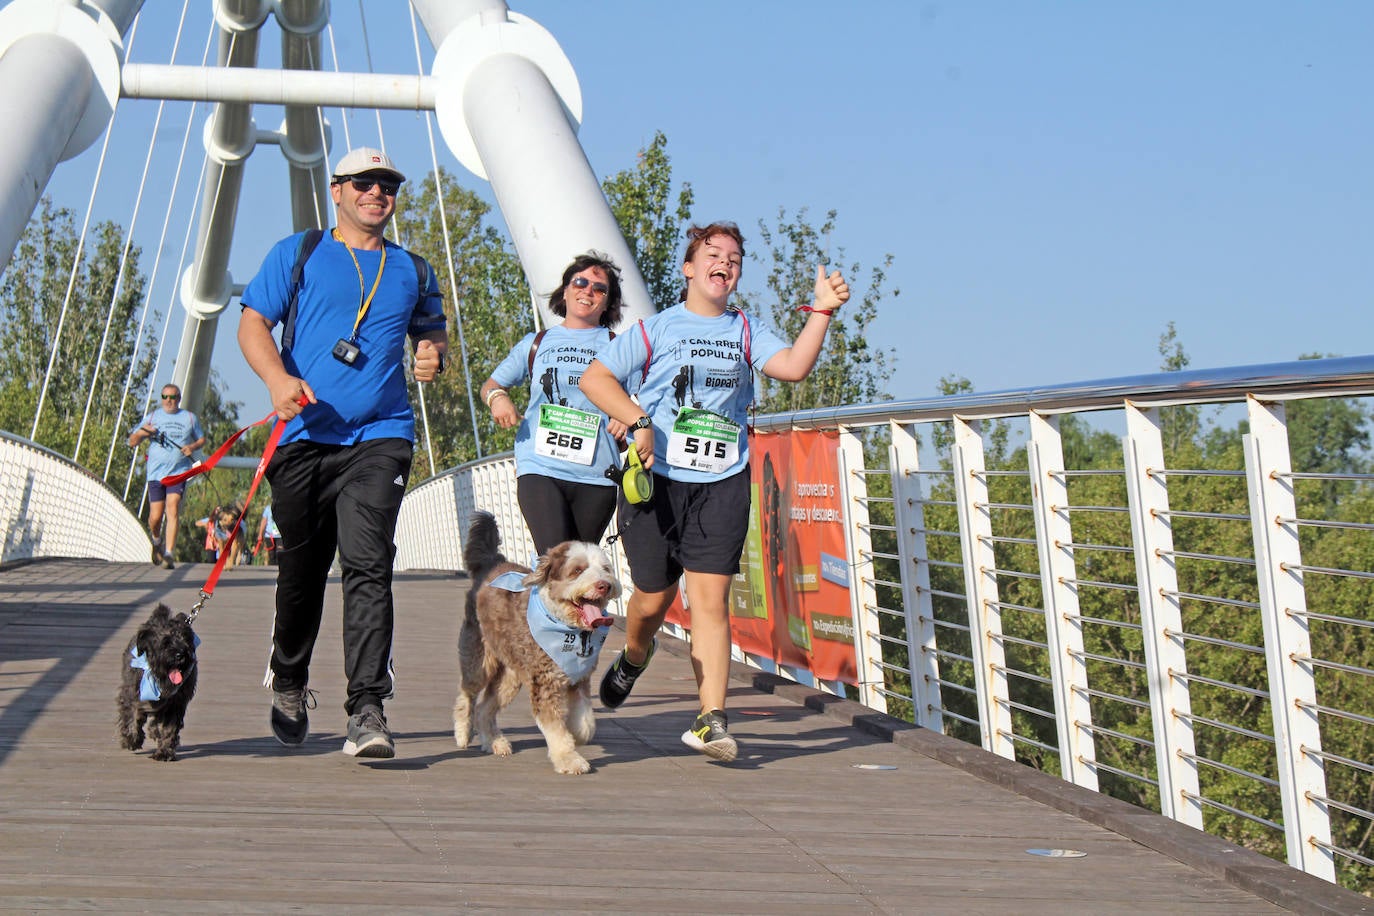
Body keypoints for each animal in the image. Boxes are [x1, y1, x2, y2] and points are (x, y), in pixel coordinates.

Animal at [116, 604, 197, 763]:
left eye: (186, 639)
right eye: (165, 642)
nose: (181, 655)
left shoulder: (175, 704)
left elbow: (168, 728)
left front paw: (164, 752)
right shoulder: (132, 694)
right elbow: (133, 715)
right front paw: (132, 739)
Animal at [453, 513, 621, 780]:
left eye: (605, 569)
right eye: (577, 570)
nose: (604, 585)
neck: (566, 627)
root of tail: (492, 561)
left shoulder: (580, 678)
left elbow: (586, 722)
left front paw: (578, 734)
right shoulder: (545, 682)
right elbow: (555, 730)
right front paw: (569, 759)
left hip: (511, 674)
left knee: (485, 707)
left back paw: (494, 742)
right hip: (479, 656)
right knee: (467, 695)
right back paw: (462, 732)